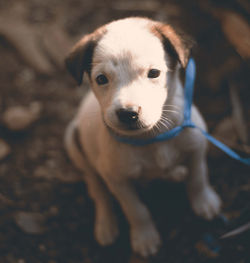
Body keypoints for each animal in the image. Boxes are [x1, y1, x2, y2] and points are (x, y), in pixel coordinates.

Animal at [64, 17, 221, 258]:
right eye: (101, 79)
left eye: (154, 73)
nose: (127, 113)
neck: (152, 137)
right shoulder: (118, 180)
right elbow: (136, 210)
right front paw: (145, 237)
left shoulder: (196, 146)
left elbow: (198, 177)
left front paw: (204, 202)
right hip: (75, 144)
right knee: (97, 188)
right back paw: (106, 225)